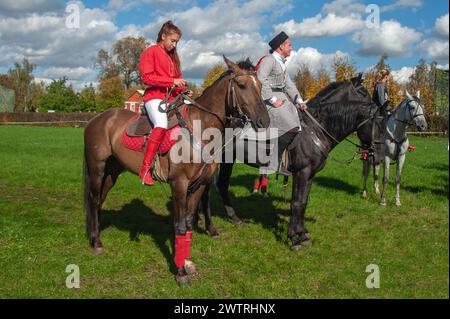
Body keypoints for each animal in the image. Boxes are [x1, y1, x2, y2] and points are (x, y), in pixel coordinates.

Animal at [82, 57, 268, 284]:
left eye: (260, 85)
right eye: (241, 85)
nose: (264, 120)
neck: (200, 128)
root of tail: (96, 119)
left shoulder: (199, 185)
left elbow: (187, 224)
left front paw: (186, 263)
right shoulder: (179, 184)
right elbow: (179, 225)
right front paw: (180, 272)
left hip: (113, 171)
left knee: (99, 200)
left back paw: (96, 234)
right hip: (97, 168)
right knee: (93, 200)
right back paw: (96, 243)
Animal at [199, 72, 378, 250]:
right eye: (363, 92)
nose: (375, 150)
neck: (316, 127)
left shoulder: (309, 175)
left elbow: (303, 202)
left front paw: (302, 233)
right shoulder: (301, 173)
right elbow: (297, 203)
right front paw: (294, 237)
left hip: (227, 161)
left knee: (222, 185)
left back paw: (233, 218)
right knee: (206, 192)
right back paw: (211, 228)